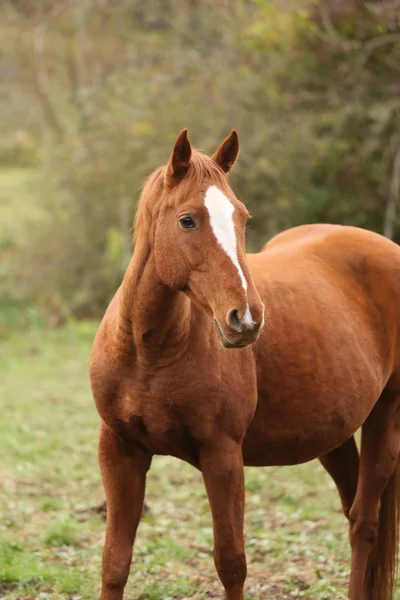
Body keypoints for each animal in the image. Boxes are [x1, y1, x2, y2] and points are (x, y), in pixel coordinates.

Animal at [90, 131, 400, 600]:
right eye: (187, 220)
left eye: (242, 217)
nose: (247, 319)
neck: (149, 352)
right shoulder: (120, 451)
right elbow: (115, 563)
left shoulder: (222, 456)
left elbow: (231, 563)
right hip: (335, 434)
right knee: (354, 512)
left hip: (386, 416)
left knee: (365, 523)